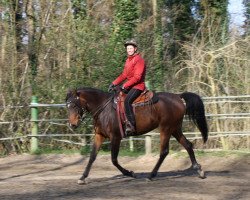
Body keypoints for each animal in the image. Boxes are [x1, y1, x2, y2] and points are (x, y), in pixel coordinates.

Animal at [65, 87, 208, 184]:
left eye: (74, 105)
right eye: (67, 106)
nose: (72, 125)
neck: (104, 109)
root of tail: (178, 97)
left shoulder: (115, 137)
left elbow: (114, 160)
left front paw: (130, 173)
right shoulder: (99, 136)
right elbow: (92, 157)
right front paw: (82, 177)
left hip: (166, 129)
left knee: (164, 151)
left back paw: (151, 175)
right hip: (175, 129)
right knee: (188, 145)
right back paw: (199, 170)